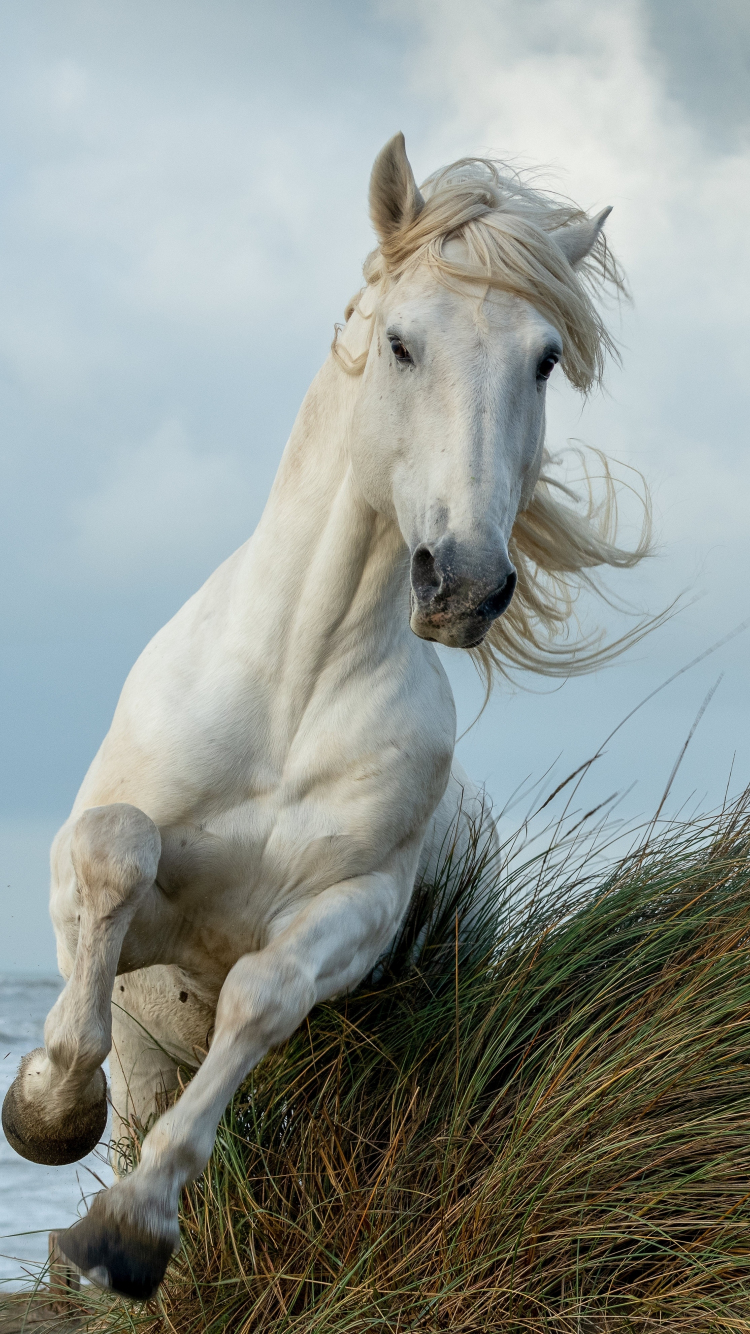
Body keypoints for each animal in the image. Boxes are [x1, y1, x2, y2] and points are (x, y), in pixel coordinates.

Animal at [2, 134, 649, 1301]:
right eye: (400, 343)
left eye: (541, 359)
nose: (465, 583)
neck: (293, 687)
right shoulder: (126, 902)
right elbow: (117, 854)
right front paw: (44, 1110)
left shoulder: (351, 912)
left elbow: (262, 990)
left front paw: (129, 1231)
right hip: (152, 1042)